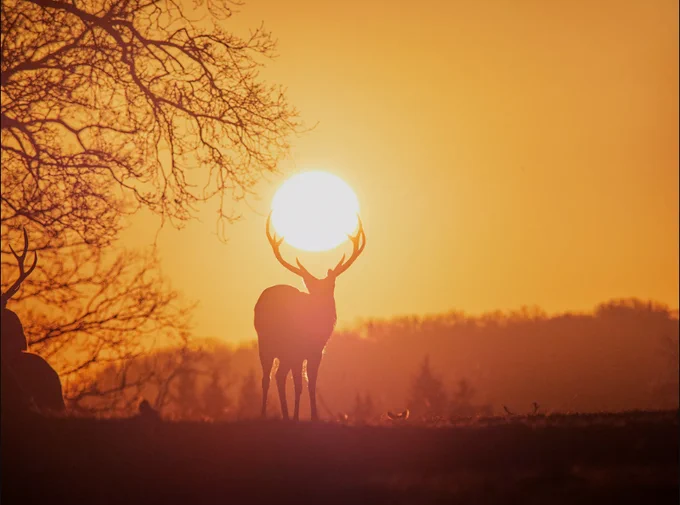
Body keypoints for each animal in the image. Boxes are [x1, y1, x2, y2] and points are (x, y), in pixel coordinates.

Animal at [254, 212, 366, 421]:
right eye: (312, 289)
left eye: (331, 287)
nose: (323, 307)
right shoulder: (304, 350)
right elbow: (302, 383)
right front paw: (303, 416)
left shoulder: (313, 351)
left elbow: (308, 383)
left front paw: (310, 415)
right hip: (274, 344)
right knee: (274, 377)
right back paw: (274, 415)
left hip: (273, 347)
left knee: (274, 376)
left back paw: (277, 415)